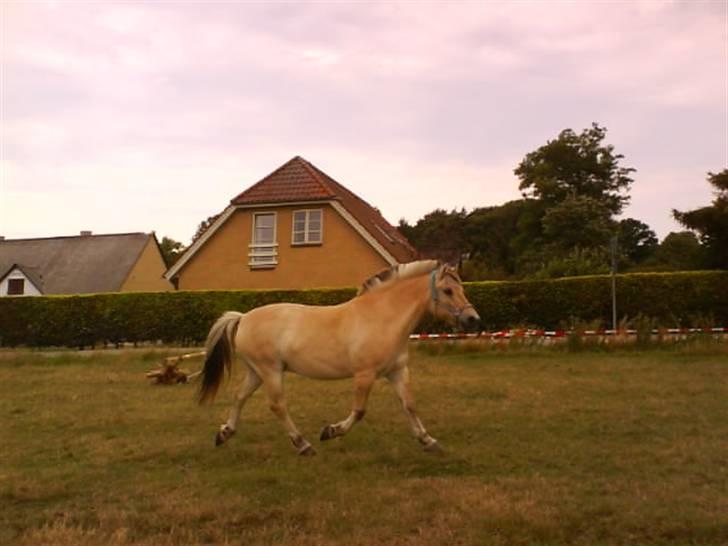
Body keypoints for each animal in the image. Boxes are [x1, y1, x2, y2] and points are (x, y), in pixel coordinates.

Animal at [199, 260, 480, 454]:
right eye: (447, 290)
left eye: (460, 288)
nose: (472, 319)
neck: (382, 316)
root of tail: (243, 317)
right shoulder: (365, 374)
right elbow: (359, 411)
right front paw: (330, 431)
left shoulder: (397, 371)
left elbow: (409, 405)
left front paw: (428, 441)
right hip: (270, 371)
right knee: (277, 405)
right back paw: (303, 445)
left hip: (256, 372)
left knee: (239, 396)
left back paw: (224, 434)